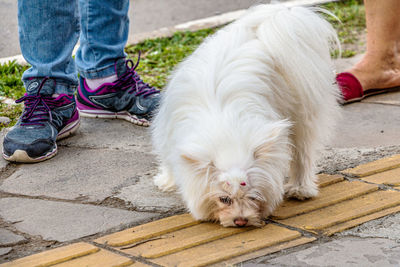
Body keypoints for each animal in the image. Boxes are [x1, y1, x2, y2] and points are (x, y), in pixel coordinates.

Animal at [151, 3, 340, 227]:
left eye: (252, 196)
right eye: (224, 199)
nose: (240, 221)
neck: (225, 129)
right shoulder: (169, 130)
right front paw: (168, 181)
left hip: (302, 111)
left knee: (303, 151)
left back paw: (301, 189)